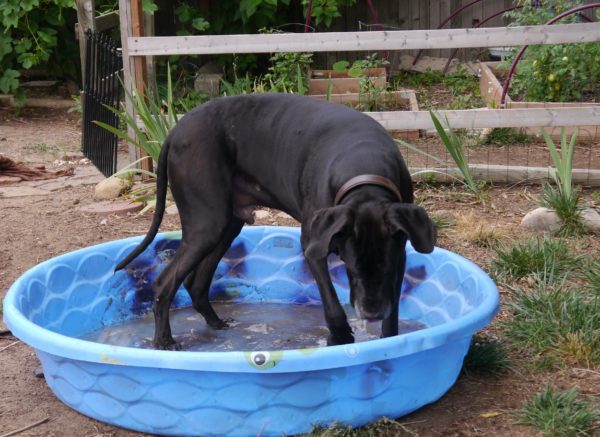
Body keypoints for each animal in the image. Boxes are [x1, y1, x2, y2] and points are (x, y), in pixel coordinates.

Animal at [116, 93, 436, 350]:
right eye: (352, 270)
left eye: (385, 269)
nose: (371, 313)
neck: (364, 168)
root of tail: (174, 132)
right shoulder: (313, 247)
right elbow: (332, 305)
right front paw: (341, 339)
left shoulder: (400, 254)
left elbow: (393, 314)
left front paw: (390, 342)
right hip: (207, 225)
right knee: (164, 283)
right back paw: (164, 341)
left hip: (226, 226)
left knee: (196, 283)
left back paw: (217, 324)